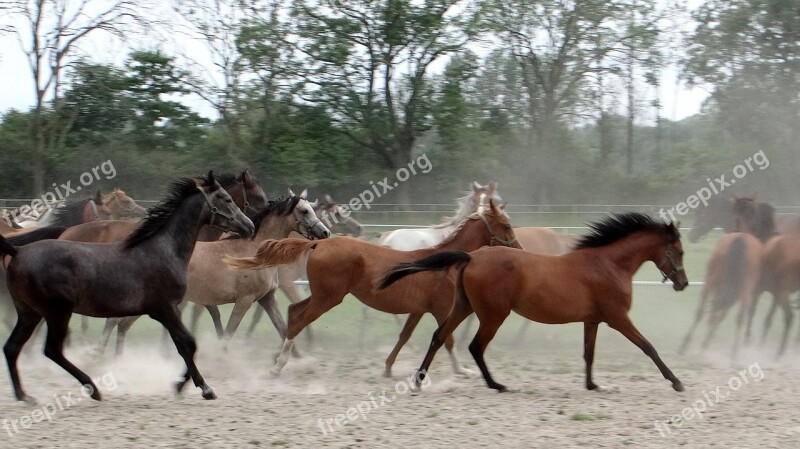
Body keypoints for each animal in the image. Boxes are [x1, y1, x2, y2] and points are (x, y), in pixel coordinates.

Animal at [0, 172, 253, 402]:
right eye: (226, 199)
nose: (249, 226)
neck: (163, 250)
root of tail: (18, 251)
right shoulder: (166, 309)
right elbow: (188, 344)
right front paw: (204, 388)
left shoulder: (168, 311)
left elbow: (184, 345)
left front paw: (180, 385)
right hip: (56, 312)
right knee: (52, 350)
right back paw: (93, 389)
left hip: (29, 312)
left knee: (12, 347)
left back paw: (24, 395)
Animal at [382, 214, 688, 392]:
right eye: (679, 251)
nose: (683, 283)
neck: (608, 264)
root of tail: (473, 256)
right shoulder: (618, 318)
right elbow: (648, 347)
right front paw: (676, 382)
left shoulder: (592, 320)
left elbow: (589, 353)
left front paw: (592, 384)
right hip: (493, 315)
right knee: (475, 346)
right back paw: (496, 384)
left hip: (463, 307)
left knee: (439, 336)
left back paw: (419, 381)